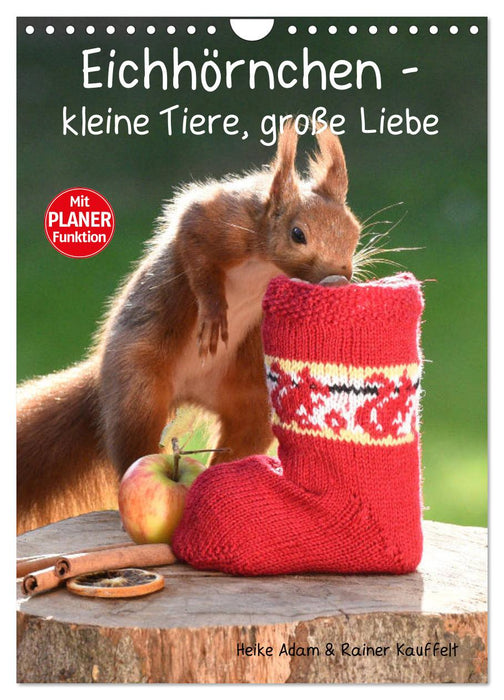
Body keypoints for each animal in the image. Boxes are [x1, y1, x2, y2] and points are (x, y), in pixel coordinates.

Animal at [17, 123, 361, 534]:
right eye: (297, 234)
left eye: (355, 232)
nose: (338, 281)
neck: (266, 263)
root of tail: (192, 391)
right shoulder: (217, 219)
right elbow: (197, 253)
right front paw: (214, 313)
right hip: (138, 387)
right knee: (133, 441)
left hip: (252, 402)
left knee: (240, 442)